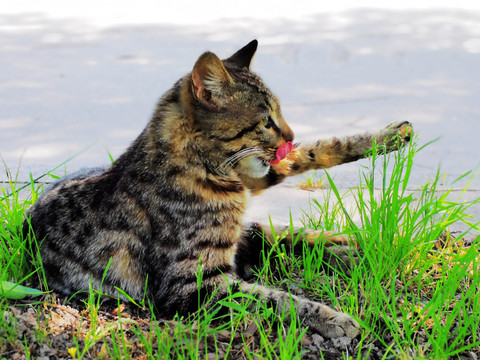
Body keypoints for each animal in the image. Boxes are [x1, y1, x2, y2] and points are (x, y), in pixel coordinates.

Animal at [23, 40, 412, 338]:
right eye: (266, 121)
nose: (289, 135)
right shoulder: (196, 288)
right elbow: (278, 300)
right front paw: (333, 318)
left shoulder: (259, 174)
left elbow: (313, 150)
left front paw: (389, 136)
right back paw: (358, 248)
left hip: (250, 223)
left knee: (290, 228)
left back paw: (364, 242)